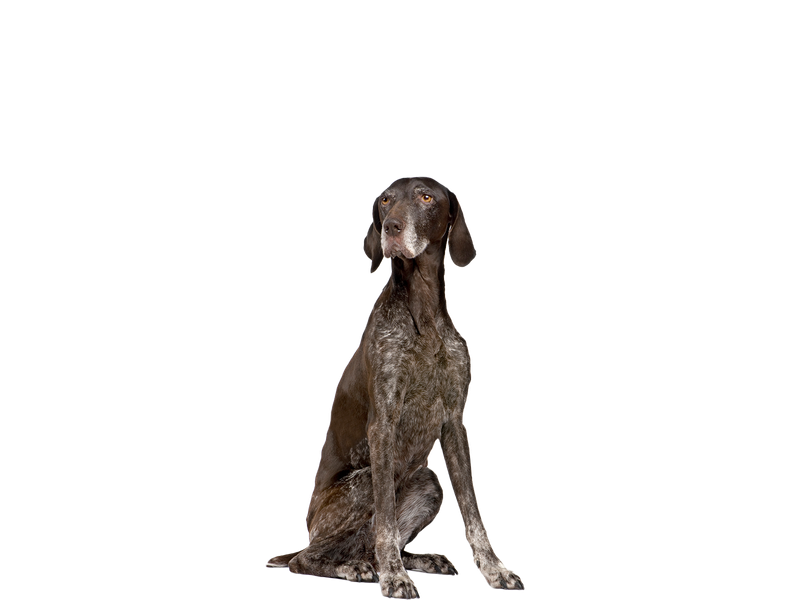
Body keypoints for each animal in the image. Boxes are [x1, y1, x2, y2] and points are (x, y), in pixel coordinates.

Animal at [266, 176, 520, 596]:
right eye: (385, 201)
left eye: (426, 197)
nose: (392, 228)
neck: (424, 316)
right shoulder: (382, 425)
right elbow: (384, 519)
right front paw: (394, 577)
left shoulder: (454, 422)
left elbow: (473, 514)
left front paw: (494, 570)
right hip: (362, 484)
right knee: (308, 557)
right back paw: (359, 568)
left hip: (428, 483)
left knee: (363, 544)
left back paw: (410, 560)